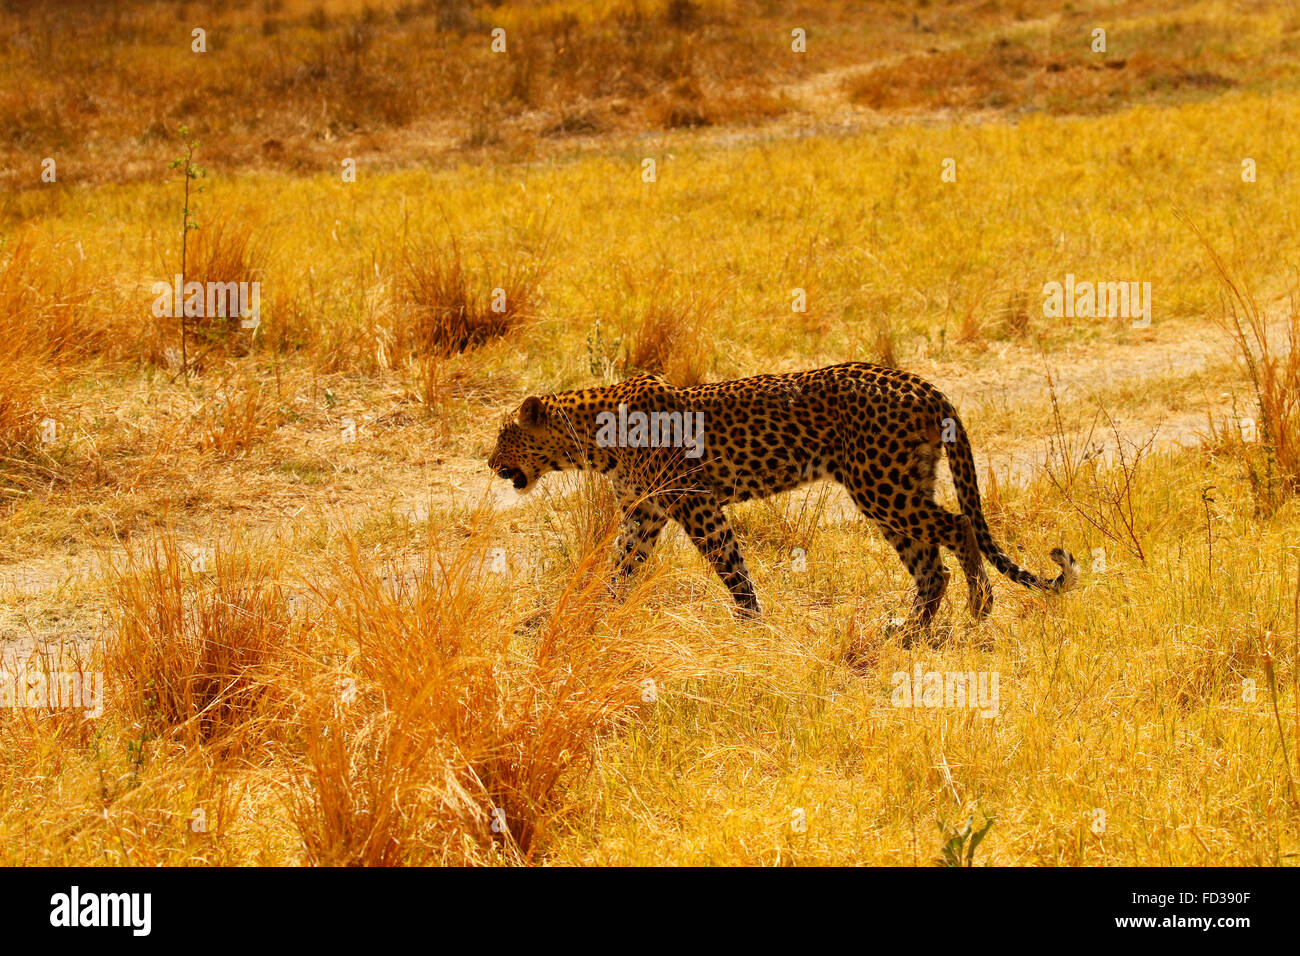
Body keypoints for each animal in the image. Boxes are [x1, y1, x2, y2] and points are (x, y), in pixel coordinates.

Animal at [488, 361, 1076, 632]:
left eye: (503, 435)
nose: (490, 464)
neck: (590, 441)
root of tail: (924, 384)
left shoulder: (695, 502)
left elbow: (729, 564)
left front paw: (750, 622)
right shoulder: (645, 511)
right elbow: (621, 567)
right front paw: (599, 615)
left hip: (880, 485)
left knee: (957, 528)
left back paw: (978, 605)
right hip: (895, 486)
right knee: (932, 562)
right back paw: (909, 631)